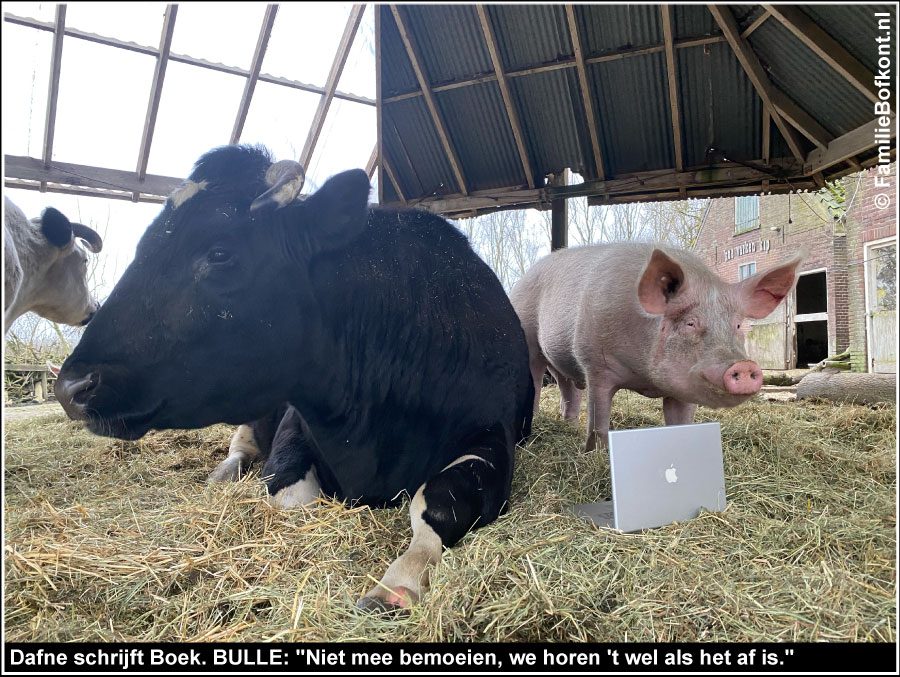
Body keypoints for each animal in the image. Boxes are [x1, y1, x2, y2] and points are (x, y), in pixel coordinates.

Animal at [54, 145, 536, 608]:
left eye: (220, 252)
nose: (71, 386)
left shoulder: (493, 434)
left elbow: (440, 501)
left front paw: (396, 585)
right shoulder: (294, 424)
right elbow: (289, 495)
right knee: (240, 448)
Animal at [510, 243, 804, 448]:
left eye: (739, 326)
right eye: (690, 323)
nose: (743, 365)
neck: (645, 379)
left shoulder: (683, 389)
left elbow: (680, 422)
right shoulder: (595, 364)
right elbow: (598, 420)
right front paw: (595, 454)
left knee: (567, 387)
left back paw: (570, 426)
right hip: (529, 338)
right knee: (536, 380)